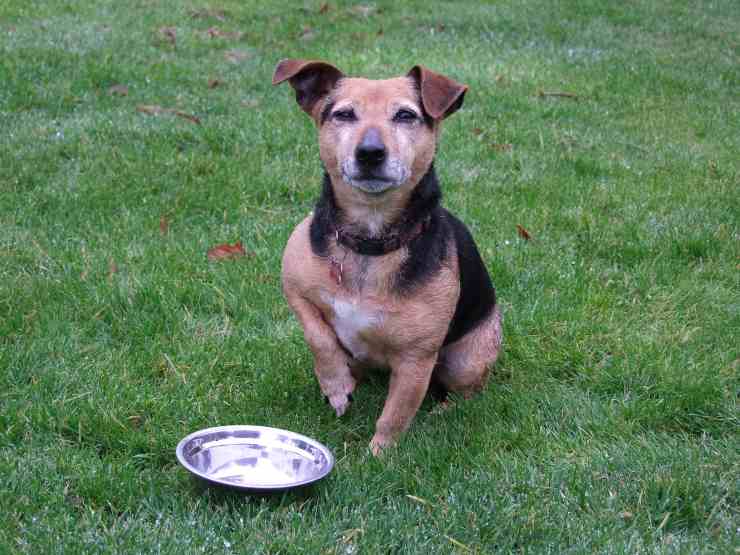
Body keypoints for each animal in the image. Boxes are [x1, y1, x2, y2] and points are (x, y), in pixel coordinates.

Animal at [274, 58, 502, 456]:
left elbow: (395, 415)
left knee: (463, 392)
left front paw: (377, 457)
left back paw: (443, 411)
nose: (369, 152)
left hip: (467, 360)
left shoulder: (416, 360)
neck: (371, 239)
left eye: (406, 115)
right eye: (344, 114)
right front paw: (335, 386)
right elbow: (319, 337)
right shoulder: (295, 289)